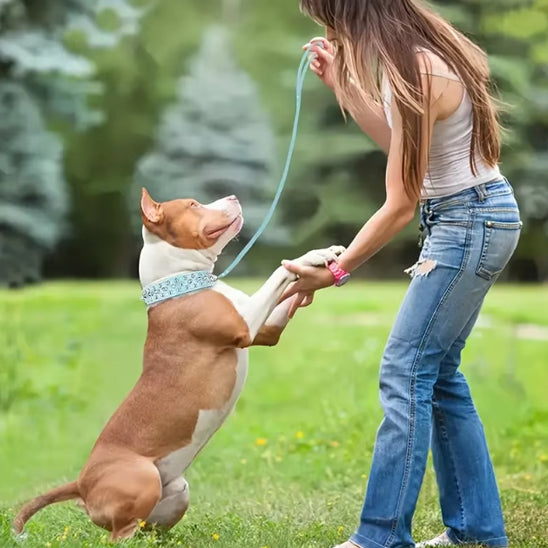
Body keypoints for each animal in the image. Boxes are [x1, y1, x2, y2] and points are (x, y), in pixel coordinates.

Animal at [12, 191, 344, 540]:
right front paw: (313, 257)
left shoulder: (267, 330)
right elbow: (277, 276)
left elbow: (284, 297)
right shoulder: (245, 324)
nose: (233, 195)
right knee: (119, 535)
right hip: (142, 477)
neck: (180, 278)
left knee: (147, 527)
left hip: (177, 490)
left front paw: (320, 258)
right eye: (193, 205)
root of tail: (81, 483)